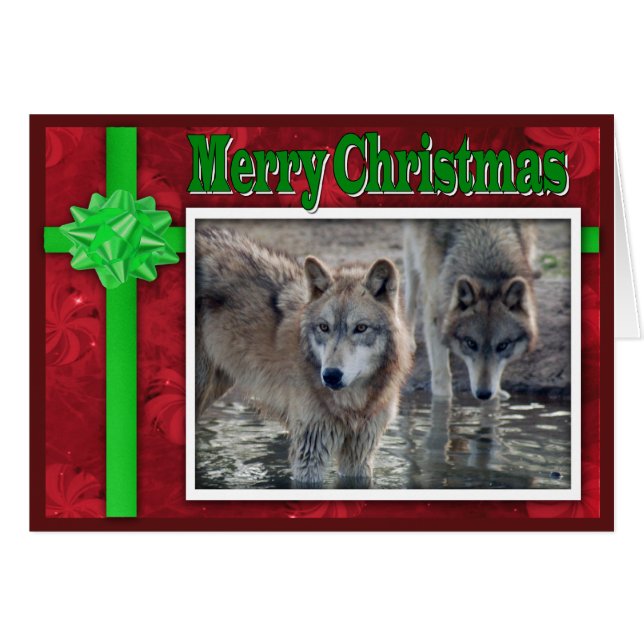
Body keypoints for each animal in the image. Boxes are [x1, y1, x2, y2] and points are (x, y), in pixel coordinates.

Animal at [196, 226, 413, 485]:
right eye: (324, 327)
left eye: (360, 328)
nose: (330, 375)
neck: (353, 405)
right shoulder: (310, 448)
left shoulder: (360, 453)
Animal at [403, 219, 538, 401]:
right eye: (471, 343)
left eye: (503, 345)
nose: (483, 394)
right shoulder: (436, 309)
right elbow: (441, 378)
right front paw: (443, 405)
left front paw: (497, 394)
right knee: (410, 286)